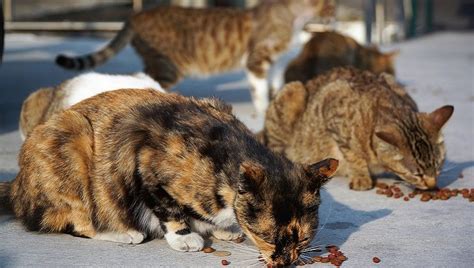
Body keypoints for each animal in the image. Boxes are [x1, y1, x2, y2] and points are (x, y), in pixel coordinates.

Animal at [3, 89, 338, 266]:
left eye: (304, 237)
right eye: (268, 237)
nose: (286, 262)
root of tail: (17, 186)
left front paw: (220, 229)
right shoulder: (144, 160)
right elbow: (167, 207)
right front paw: (185, 236)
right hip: (73, 140)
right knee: (76, 222)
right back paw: (123, 232)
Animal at [55, 0, 336, 114]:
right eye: (329, 5)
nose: (333, 14)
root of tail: (137, 14)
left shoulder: (276, 64)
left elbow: (276, 88)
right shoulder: (256, 60)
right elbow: (259, 92)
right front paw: (263, 109)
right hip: (168, 67)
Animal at [262, 68, 454, 192]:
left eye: (438, 165)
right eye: (417, 174)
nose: (432, 184)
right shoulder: (331, 106)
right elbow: (353, 154)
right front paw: (361, 176)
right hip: (293, 91)